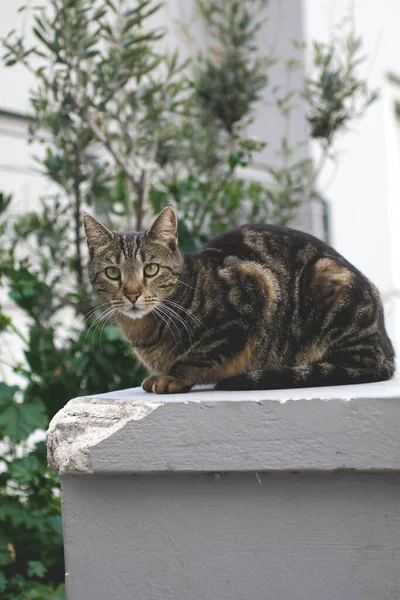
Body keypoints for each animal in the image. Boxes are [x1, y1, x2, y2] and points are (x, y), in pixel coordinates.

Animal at [83, 206, 394, 394]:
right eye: (113, 273)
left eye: (150, 269)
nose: (132, 294)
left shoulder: (254, 290)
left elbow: (202, 351)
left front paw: (174, 375)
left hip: (328, 286)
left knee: (360, 363)